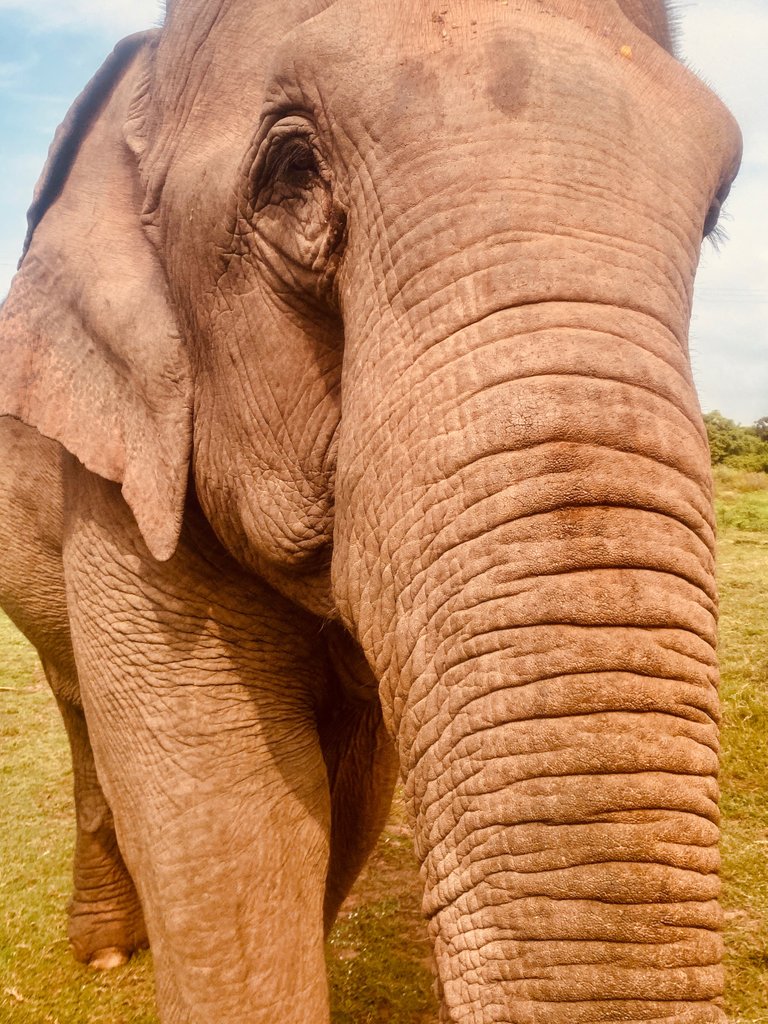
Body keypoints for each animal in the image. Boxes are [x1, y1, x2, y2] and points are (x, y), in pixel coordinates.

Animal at [0, 0, 745, 1019]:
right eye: (291, 173)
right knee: (77, 703)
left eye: (715, 213)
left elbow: (341, 795)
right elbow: (225, 813)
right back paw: (111, 950)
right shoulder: (130, 458)